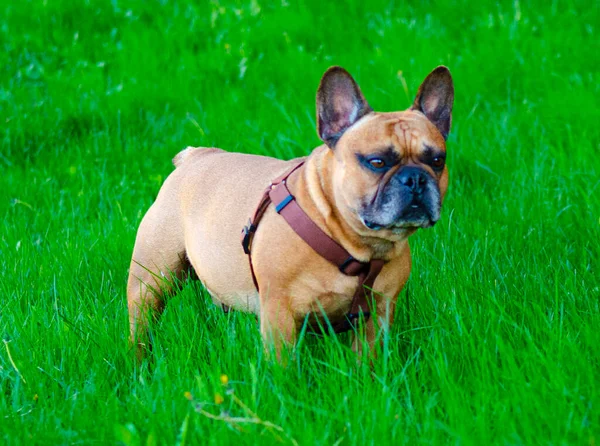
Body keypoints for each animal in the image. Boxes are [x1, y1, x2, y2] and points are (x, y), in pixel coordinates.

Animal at [127, 64, 454, 360]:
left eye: (437, 161)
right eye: (377, 162)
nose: (415, 178)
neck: (353, 244)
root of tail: (194, 156)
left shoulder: (379, 315)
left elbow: (368, 364)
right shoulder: (279, 315)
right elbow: (283, 370)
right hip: (151, 280)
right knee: (141, 326)